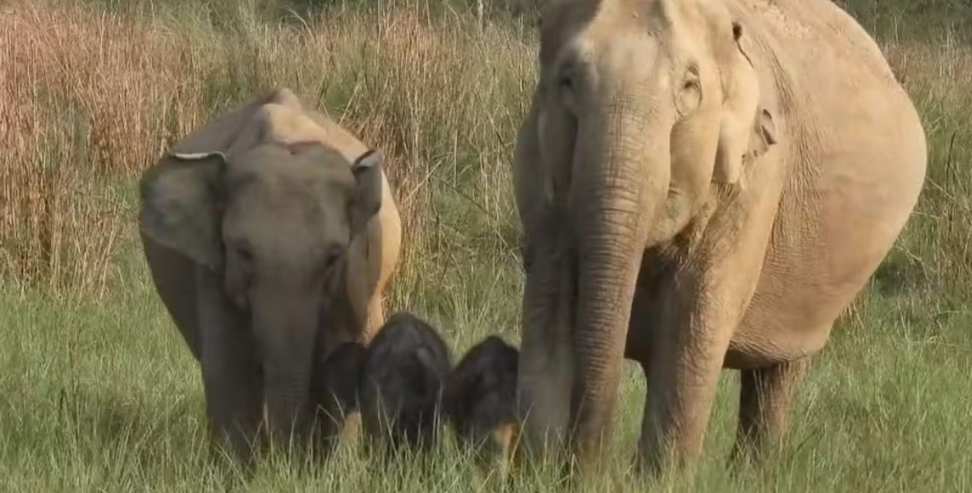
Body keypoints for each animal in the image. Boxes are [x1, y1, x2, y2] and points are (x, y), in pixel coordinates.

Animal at [138, 88, 402, 460]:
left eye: (333, 257)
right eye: (243, 252)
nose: (287, 457)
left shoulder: (355, 273)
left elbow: (344, 358)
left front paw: (333, 465)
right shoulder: (214, 273)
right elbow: (228, 369)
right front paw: (241, 468)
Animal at [512, 0, 927, 474]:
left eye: (690, 87)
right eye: (566, 80)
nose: (583, 466)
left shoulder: (753, 182)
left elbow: (694, 315)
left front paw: (660, 478)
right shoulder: (537, 169)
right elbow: (550, 298)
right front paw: (537, 470)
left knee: (778, 373)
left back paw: (755, 473)